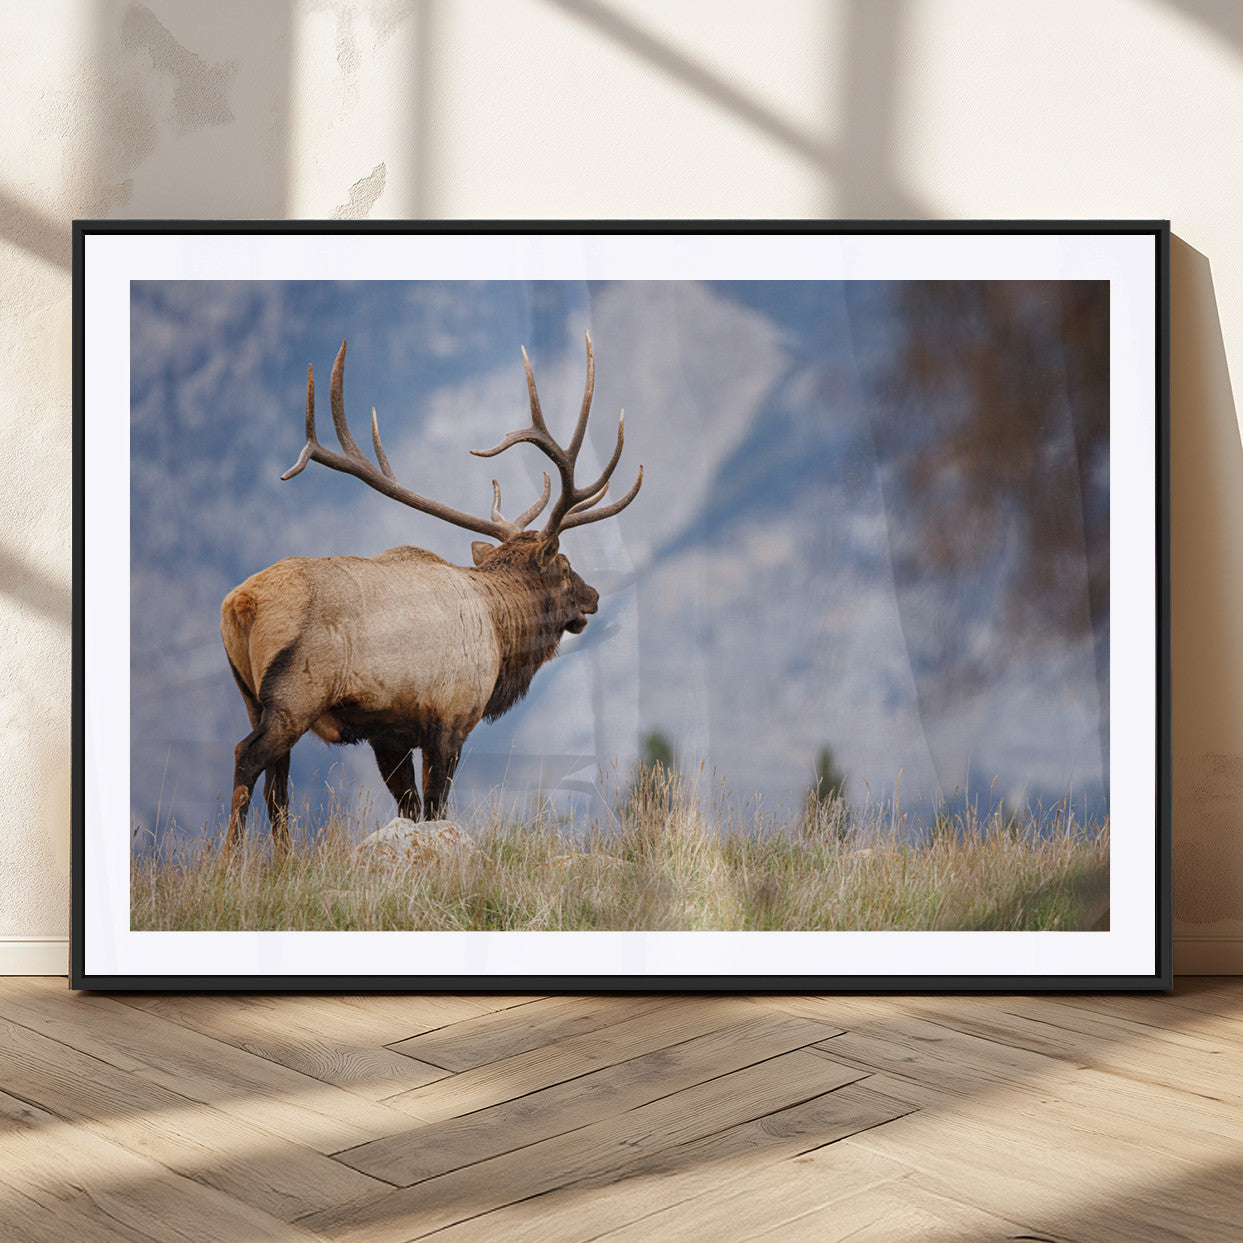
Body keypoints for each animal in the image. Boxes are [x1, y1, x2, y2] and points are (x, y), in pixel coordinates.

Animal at [219, 332, 641, 860]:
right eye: (564, 567)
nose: (594, 596)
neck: (501, 635)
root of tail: (241, 603)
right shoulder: (452, 717)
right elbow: (437, 808)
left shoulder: (389, 733)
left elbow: (410, 807)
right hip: (296, 695)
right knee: (247, 758)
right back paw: (227, 861)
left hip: (251, 696)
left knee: (278, 786)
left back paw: (283, 861)